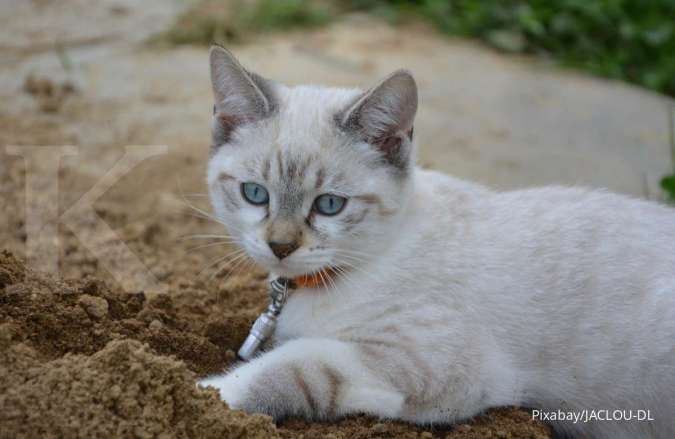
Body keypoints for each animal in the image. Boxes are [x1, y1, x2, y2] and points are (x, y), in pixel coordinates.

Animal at [198, 45, 675, 439]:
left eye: (330, 205)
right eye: (255, 194)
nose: (280, 247)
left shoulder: (430, 367)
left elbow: (286, 366)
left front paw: (204, 394)